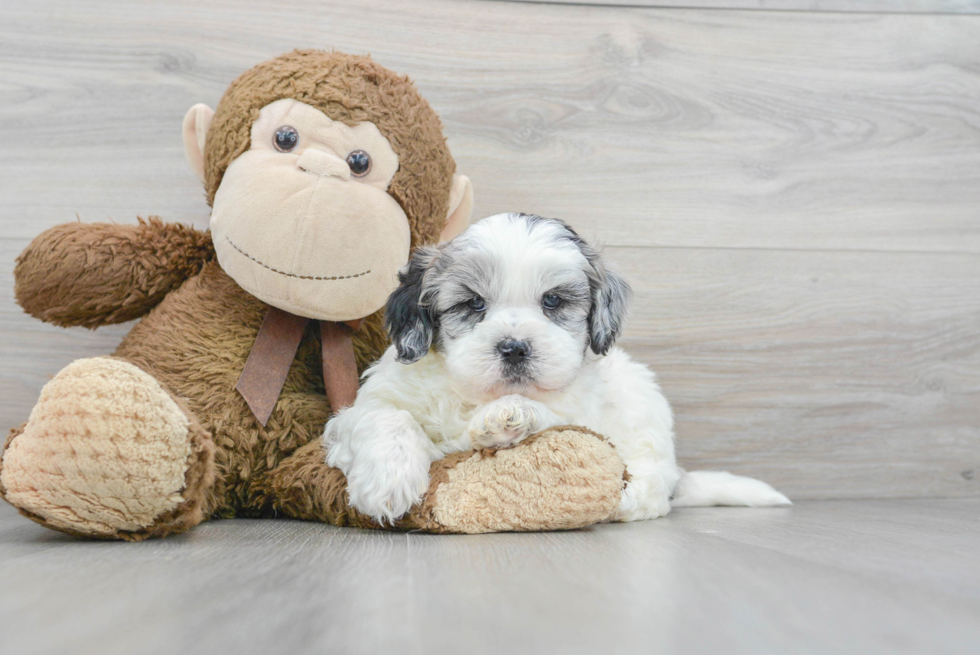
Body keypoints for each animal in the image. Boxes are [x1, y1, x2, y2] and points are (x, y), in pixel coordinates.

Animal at [324, 213, 788, 524]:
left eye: (552, 301)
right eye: (473, 303)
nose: (514, 348)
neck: (476, 395)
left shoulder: (584, 413)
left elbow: (554, 418)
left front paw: (508, 416)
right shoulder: (368, 404)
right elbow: (385, 417)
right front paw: (387, 482)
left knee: (648, 490)